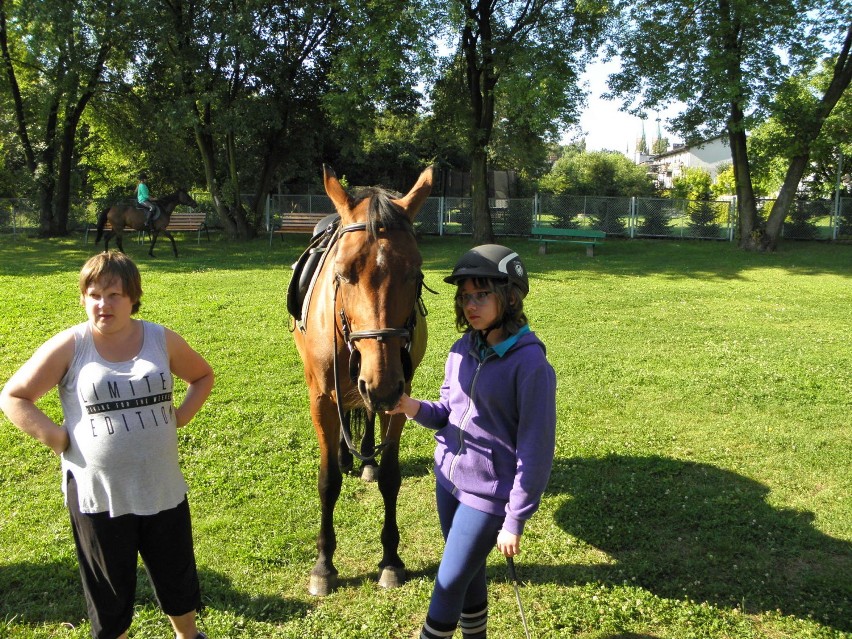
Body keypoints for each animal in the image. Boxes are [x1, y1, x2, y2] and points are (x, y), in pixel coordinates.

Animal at [292, 168, 432, 596]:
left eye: (415, 273)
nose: (382, 385)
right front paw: (324, 565)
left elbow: (390, 477)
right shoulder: (322, 398)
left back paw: (365, 456)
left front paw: (391, 559)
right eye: (341, 273)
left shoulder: (401, 394)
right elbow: (328, 482)